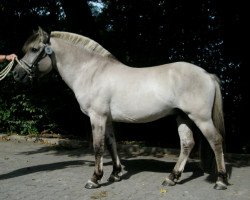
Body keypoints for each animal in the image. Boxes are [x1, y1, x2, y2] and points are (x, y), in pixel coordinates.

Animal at [13, 27, 229, 189]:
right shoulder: (107, 118)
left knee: (216, 141)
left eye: (34, 49)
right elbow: (111, 144)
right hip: (182, 116)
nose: (16, 74)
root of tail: (207, 74)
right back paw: (172, 178)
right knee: (187, 144)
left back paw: (220, 181)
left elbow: (98, 147)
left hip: (201, 118)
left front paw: (94, 179)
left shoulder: (97, 117)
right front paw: (115, 174)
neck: (91, 72)